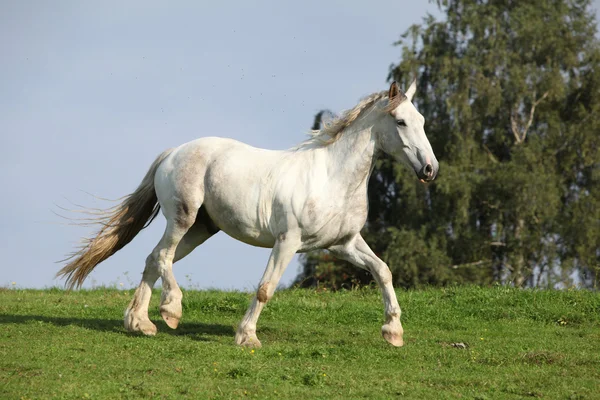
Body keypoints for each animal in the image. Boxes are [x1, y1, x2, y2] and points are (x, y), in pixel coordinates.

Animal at [58, 81, 438, 346]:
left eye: (421, 121)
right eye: (400, 122)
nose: (430, 169)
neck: (332, 177)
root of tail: (173, 152)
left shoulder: (343, 243)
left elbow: (383, 271)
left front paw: (393, 332)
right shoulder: (288, 241)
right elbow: (265, 288)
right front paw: (247, 337)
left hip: (200, 230)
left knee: (153, 259)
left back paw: (140, 322)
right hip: (182, 219)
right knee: (163, 257)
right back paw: (170, 311)